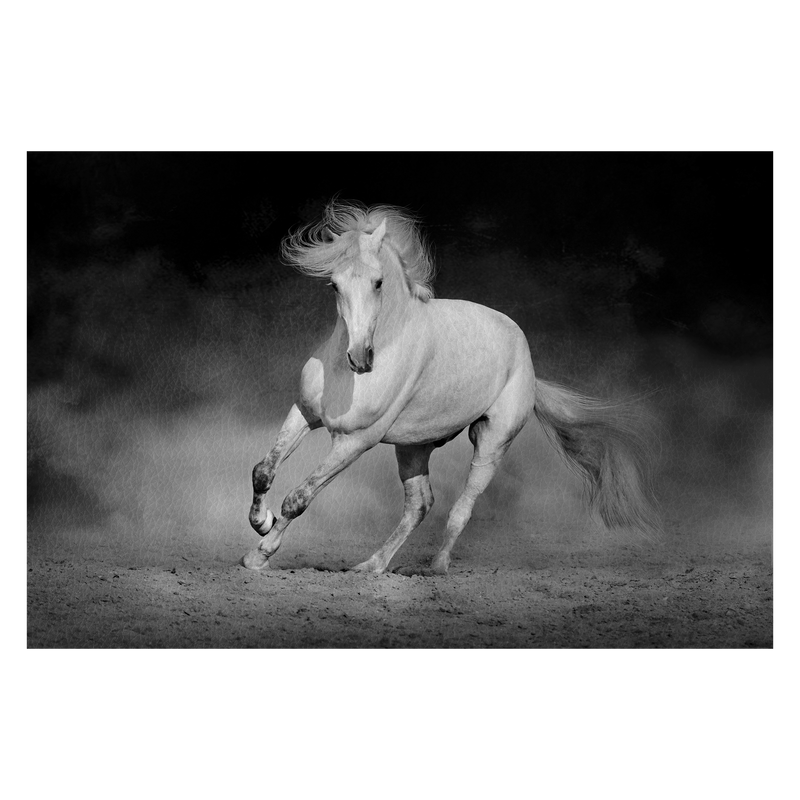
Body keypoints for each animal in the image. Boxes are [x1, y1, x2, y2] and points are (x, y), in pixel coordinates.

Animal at [241, 203, 660, 572]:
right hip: (413, 446)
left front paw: (258, 555)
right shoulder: (304, 414)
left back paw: (437, 567)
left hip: (491, 442)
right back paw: (371, 566)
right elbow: (263, 470)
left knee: (462, 506)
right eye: (334, 285)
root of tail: (527, 361)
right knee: (420, 505)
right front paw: (261, 523)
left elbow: (299, 498)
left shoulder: (355, 441)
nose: (360, 359)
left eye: (378, 283)